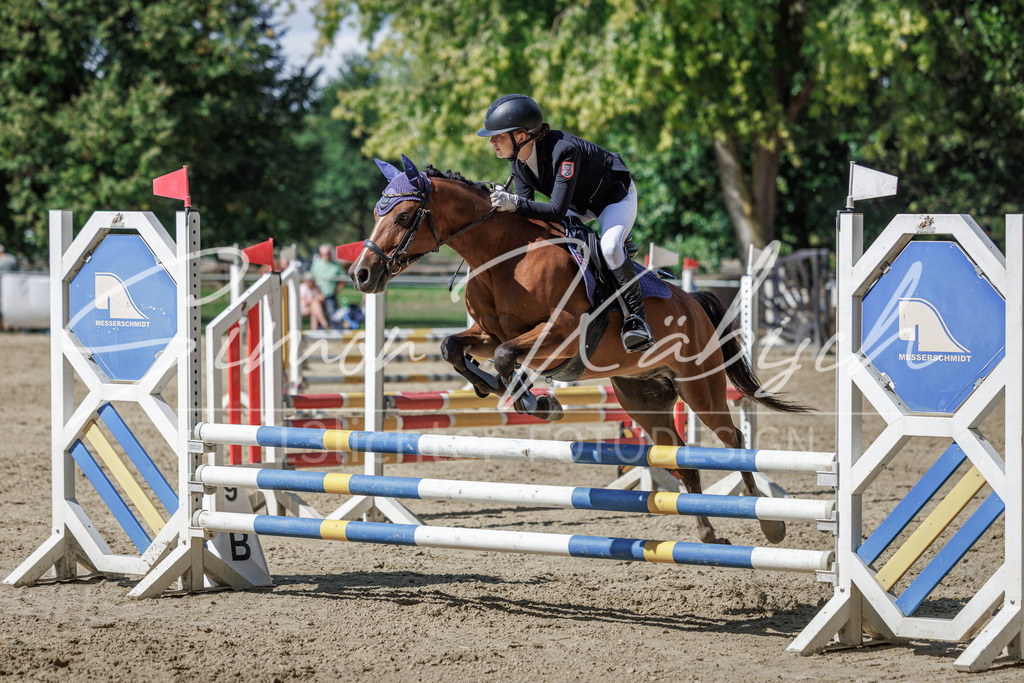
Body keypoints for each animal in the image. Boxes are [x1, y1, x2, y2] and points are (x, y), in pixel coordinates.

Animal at [351, 155, 808, 545]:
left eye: (404, 216)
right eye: (376, 213)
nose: (362, 275)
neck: (504, 258)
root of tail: (693, 302)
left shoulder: (562, 334)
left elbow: (505, 358)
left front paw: (535, 402)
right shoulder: (489, 332)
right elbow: (454, 347)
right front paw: (497, 388)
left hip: (701, 387)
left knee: (734, 442)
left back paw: (770, 525)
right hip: (643, 399)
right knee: (680, 458)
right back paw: (708, 534)